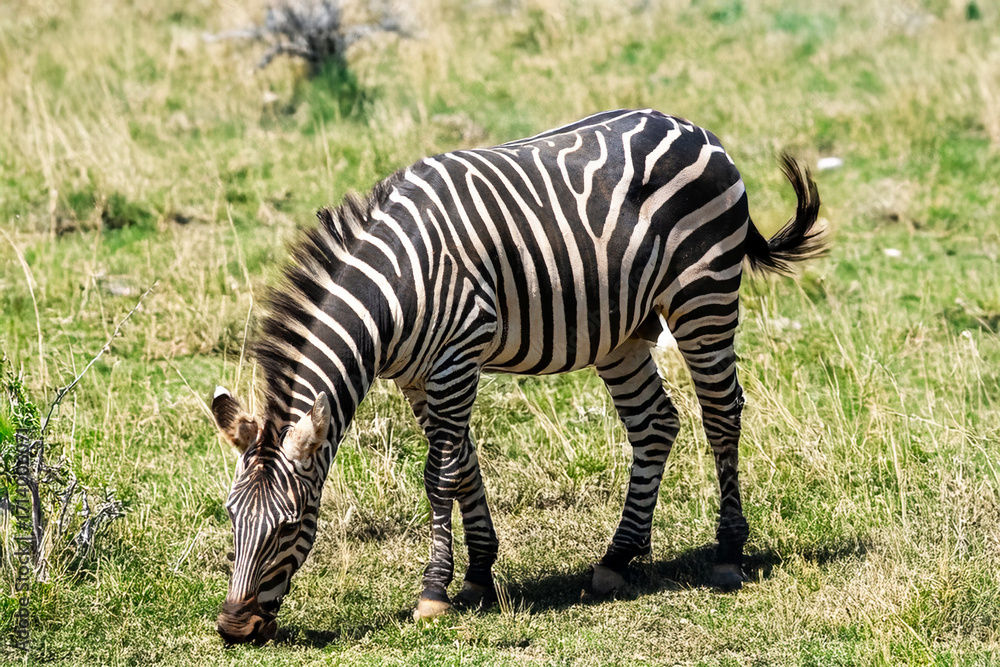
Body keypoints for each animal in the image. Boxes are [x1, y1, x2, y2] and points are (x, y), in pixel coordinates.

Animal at [211, 108, 823, 646]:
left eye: (290, 527)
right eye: (231, 517)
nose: (235, 629)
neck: (392, 293)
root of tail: (696, 129)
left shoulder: (458, 357)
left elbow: (440, 475)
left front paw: (434, 593)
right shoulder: (418, 377)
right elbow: (464, 466)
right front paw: (479, 574)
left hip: (703, 296)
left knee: (721, 413)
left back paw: (727, 554)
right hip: (621, 331)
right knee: (654, 424)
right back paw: (618, 557)